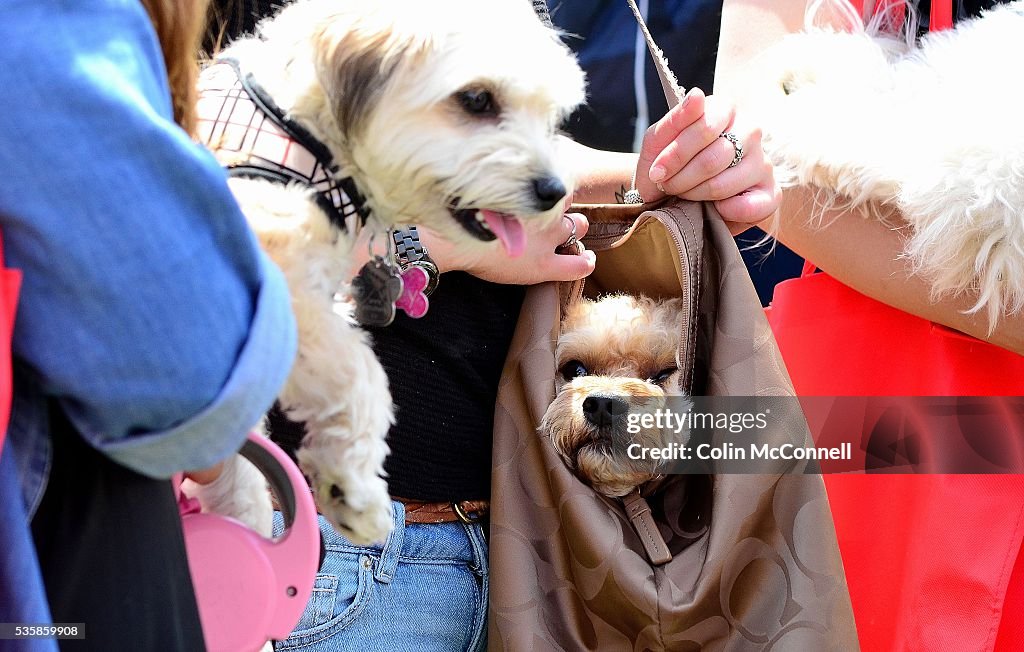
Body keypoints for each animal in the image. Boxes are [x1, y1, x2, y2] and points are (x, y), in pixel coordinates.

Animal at [186, 0, 585, 540]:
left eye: (548, 116)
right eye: (476, 99)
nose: (553, 190)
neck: (304, 130)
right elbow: (361, 374)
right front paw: (354, 490)